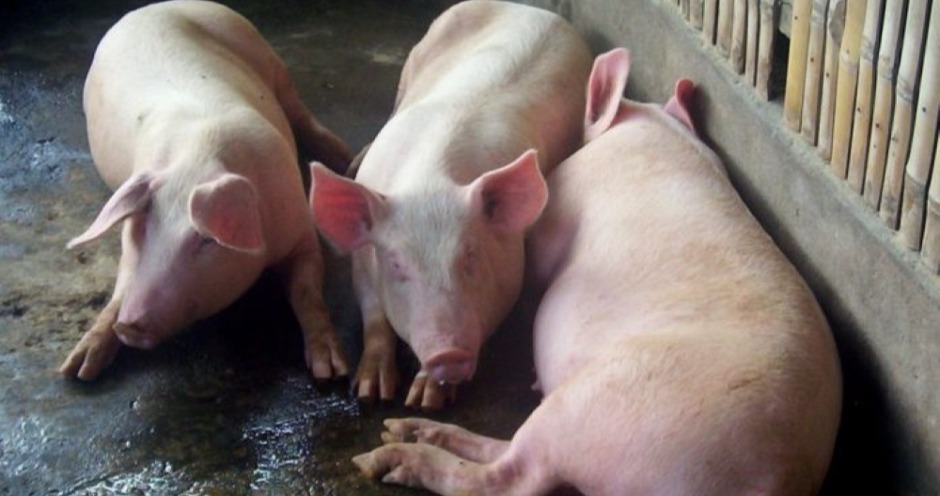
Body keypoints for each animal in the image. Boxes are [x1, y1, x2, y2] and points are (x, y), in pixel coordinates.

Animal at [59, 0, 352, 381]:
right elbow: (119, 290)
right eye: (139, 227)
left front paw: (330, 371)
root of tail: (159, 6)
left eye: (206, 240)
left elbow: (307, 292)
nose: (130, 325)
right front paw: (76, 370)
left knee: (299, 111)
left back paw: (345, 159)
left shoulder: (301, 229)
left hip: (268, 58)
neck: (197, 162)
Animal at [309, 0, 593, 409]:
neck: (429, 180)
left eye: (471, 254)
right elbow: (373, 314)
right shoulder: (362, 261)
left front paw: (424, 400)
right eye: (396, 264)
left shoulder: (510, 274)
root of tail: (527, 7)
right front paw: (371, 392)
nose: (448, 354)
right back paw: (351, 163)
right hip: (414, 62)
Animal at [351, 48, 843, 496]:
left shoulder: (555, 211)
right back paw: (401, 429)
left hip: (594, 402)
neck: (663, 134)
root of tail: (775, 478)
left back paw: (384, 458)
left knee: (507, 476)